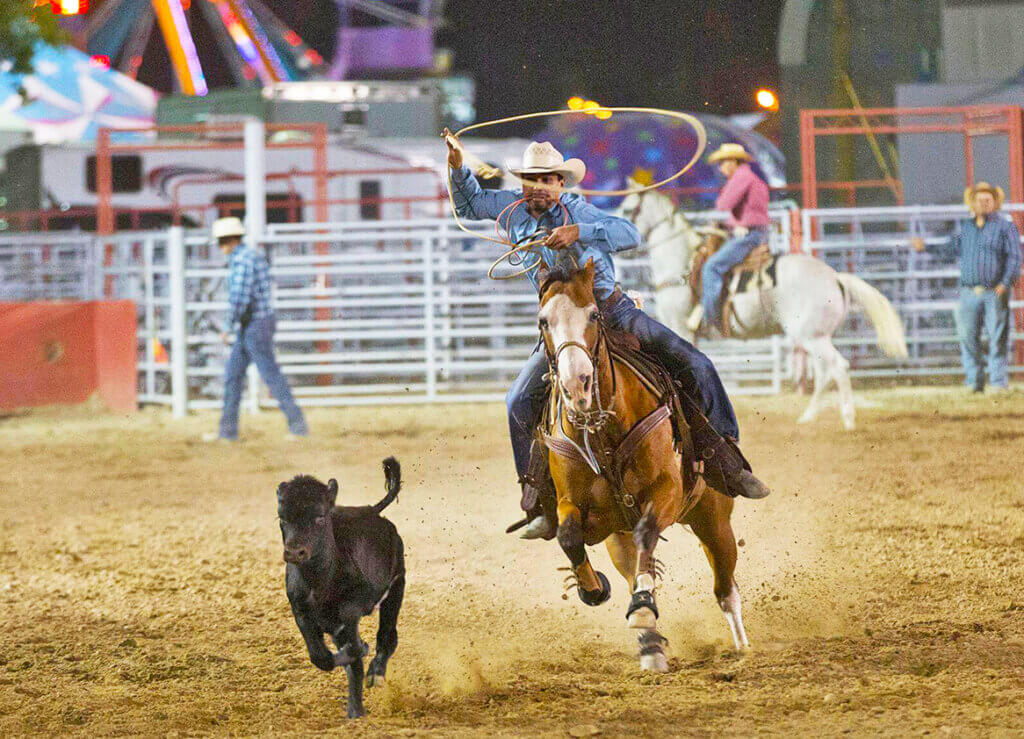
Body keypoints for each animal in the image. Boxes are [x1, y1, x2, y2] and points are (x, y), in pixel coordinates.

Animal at [282, 454, 409, 712]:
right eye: (282, 518)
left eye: (320, 517)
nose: (294, 552)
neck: (318, 582)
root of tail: (372, 511)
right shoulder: (301, 611)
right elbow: (321, 657)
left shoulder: (357, 605)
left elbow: (353, 643)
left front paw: (362, 648)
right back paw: (355, 710)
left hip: (396, 587)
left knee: (388, 637)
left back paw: (375, 675)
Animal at [536, 262, 745, 671]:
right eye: (543, 321)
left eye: (593, 314)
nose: (577, 383)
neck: (601, 430)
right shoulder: (574, 504)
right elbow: (569, 536)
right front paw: (593, 588)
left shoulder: (665, 491)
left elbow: (648, 532)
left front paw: (645, 608)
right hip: (620, 536)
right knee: (635, 570)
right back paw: (650, 647)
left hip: (713, 517)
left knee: (726, 587)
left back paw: (742, 647)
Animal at [618, 180, 909, 429]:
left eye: (627, 208)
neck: (681, 265)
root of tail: (835, 278)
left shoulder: (680, 326)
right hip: (816, 337)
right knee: (824, 373)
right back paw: (809, 417)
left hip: (810, 336)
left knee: (838, 368)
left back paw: (848, 419)